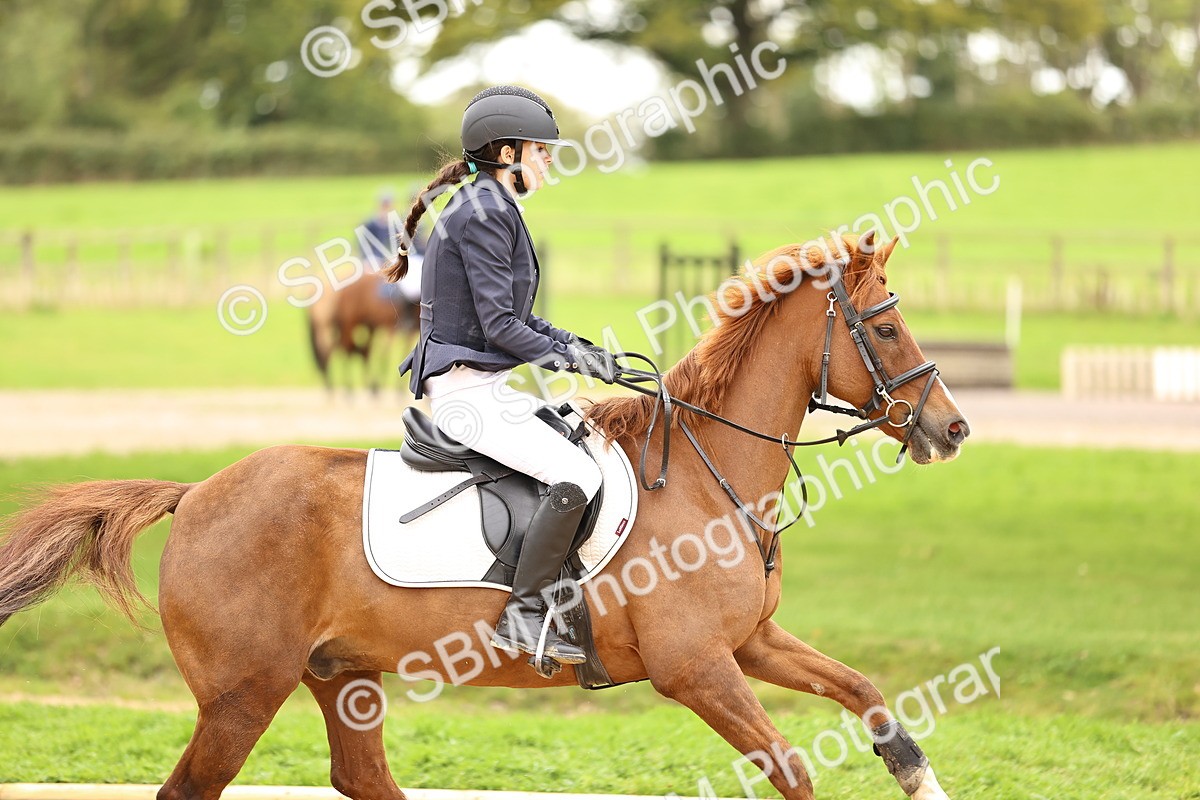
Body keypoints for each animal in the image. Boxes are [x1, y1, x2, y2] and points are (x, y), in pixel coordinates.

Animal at [0, 231, 970, 800]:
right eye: (887, 329)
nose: (953, 428)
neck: (706, 475)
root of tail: (196, 492)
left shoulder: (752, 643)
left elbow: (868, 695)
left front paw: (918, 775)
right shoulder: (696, 668)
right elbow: (794, 769)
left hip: (341, 677)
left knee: (364, 780)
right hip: (242, 698)